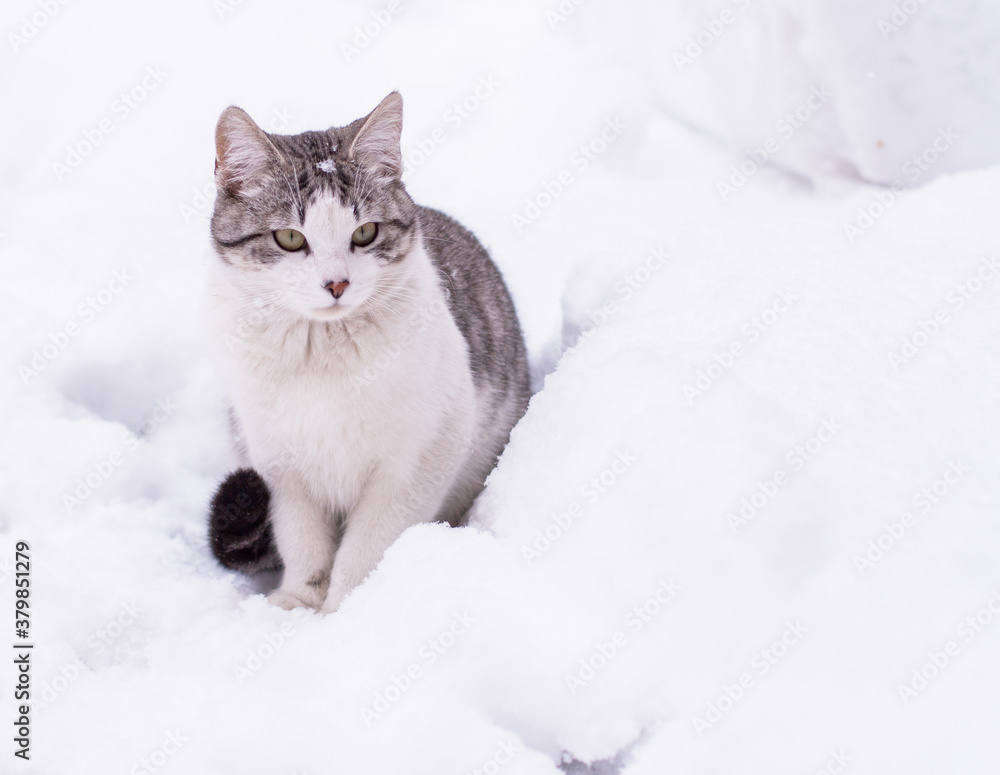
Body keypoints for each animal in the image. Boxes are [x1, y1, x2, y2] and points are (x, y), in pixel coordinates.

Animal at [204, 92, 532, 612]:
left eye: (365, 233)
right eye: (290, 238)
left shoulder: (420, 457)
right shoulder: (278, 464)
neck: (321, 353)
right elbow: (302, 540)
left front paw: (349, 611)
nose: (336, 283)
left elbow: (370, 544)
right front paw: (299, 601)